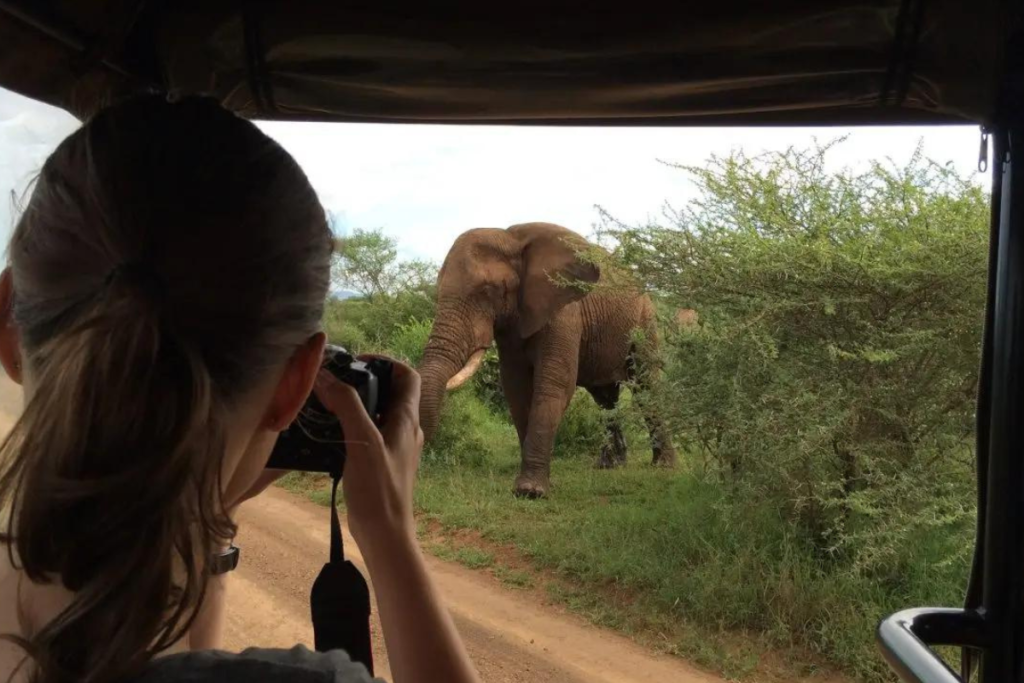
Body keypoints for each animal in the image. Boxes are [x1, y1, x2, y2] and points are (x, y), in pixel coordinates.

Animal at [415, 223, 679, 497]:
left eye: (488, 291)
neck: (510, 238)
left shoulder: (564, 311)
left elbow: (555, 384)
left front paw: (530, 491)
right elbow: (516, 389)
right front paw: (532, 484)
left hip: (645, 320)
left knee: (645, 385)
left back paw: (663, 465)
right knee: (605, 397)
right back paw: (610, 465)